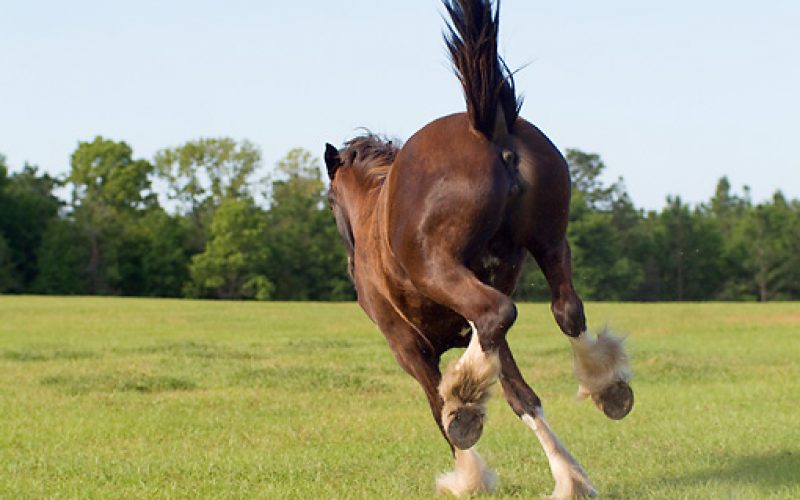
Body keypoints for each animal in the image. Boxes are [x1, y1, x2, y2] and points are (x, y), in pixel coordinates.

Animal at [324, 0, 632, 496]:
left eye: (331, 202)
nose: (352, 261)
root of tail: (485, 124)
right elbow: (521, 395)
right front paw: (569, 476)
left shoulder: (405, 344)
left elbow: (439, 409)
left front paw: (468, 469)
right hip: (551, 244)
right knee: (565, 309)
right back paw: (607, 385)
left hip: (440, 269)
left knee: (496, 313)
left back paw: (465, 394)